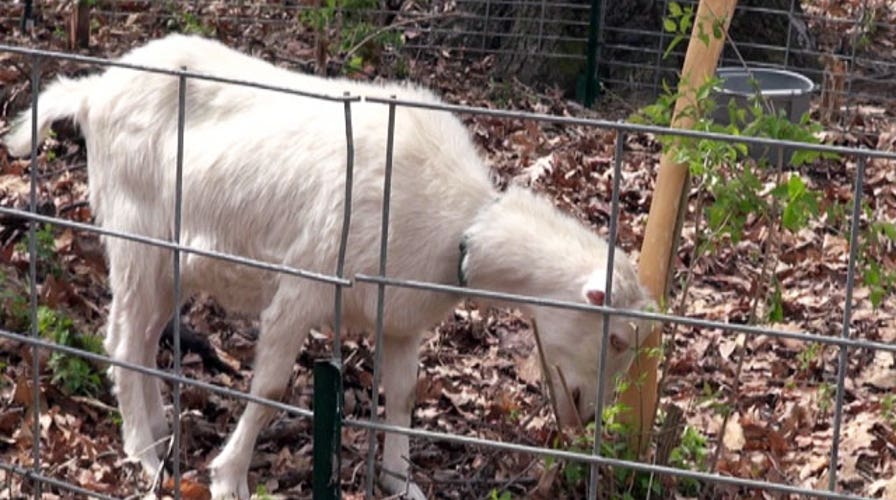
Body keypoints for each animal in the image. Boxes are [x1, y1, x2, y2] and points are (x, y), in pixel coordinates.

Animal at [4, 34, 654, 499]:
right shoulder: (306, 284)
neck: (460, 227)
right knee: (122, 340)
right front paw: (229, 477)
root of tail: (94, 90)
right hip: (136, 234)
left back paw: (162, 433)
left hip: (171, 259)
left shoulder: (399, 317)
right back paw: (143, 452)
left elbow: (404, 392)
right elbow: (269, 387)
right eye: (617, 339)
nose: (586, 416)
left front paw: (401, 480)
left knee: (140, 339)